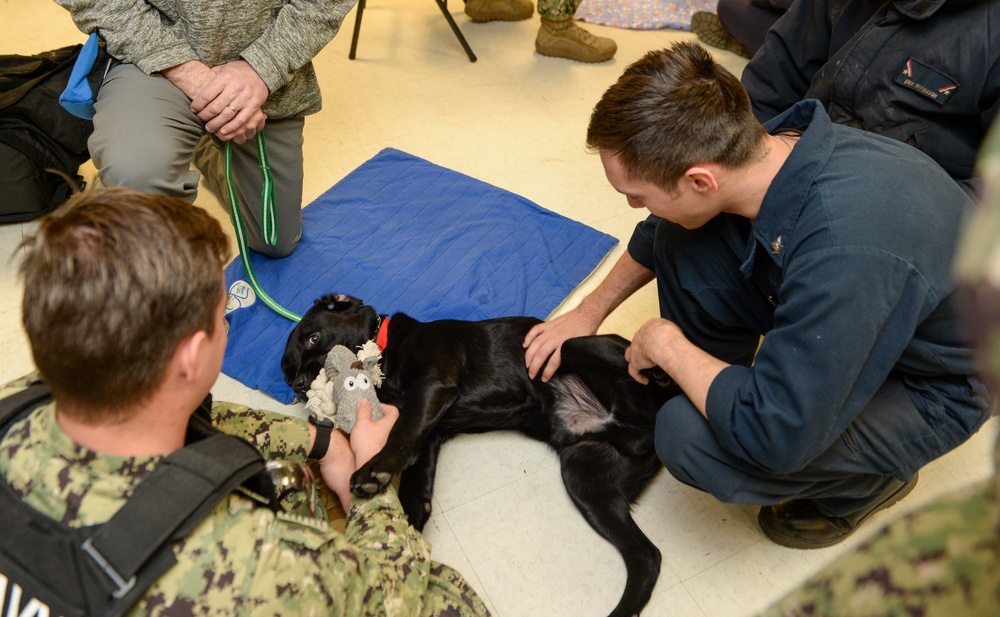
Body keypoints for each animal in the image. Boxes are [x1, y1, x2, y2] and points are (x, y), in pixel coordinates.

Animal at [280, 294, 672, 616]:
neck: (386, 350)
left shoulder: (432, 385)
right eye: (287, 372)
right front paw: (406, 532)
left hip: (574, 346)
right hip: (586, 481)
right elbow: (414, 487)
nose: (298, 385)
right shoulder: (430, 432)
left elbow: (400, 433)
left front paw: (375, 470)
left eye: (314, 338)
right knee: (647, 557)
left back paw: (659, 371)